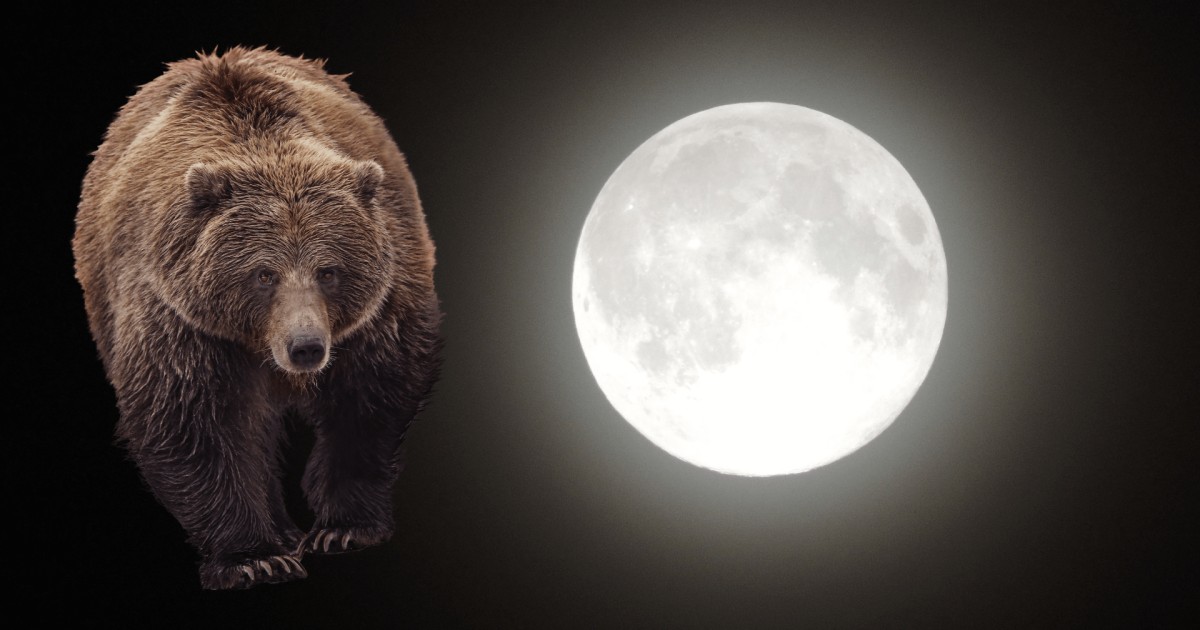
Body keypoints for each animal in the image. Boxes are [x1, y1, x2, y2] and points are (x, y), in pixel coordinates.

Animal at [73, 47, 442, 590]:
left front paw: (344, 528)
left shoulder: (380, 306)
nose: (305, 346)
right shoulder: (180, 316)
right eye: (264, 274)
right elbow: (191, 421)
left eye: (328, 270)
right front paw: (255, 557)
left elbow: (372, 397)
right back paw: (282, 531)